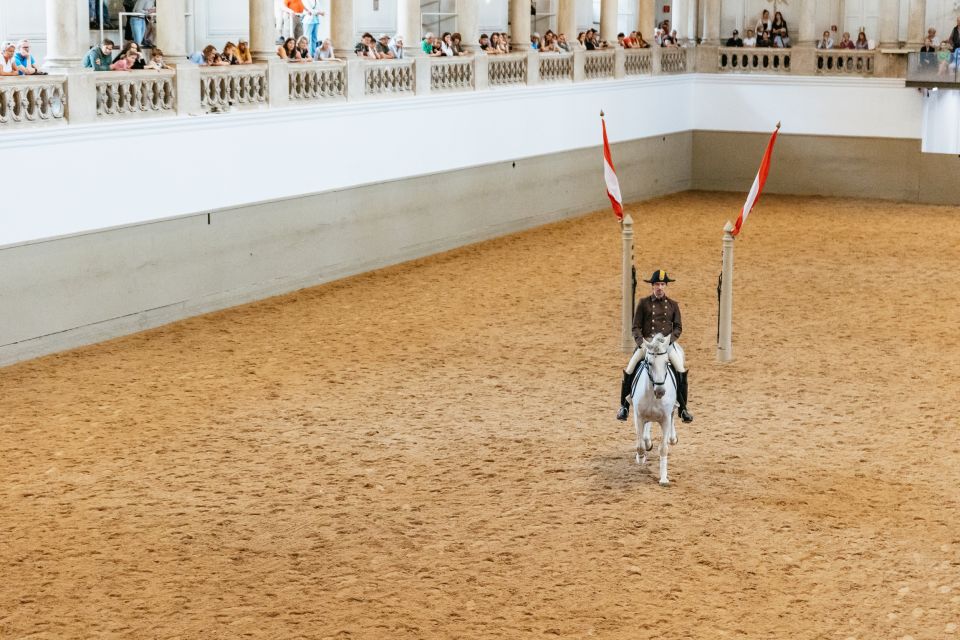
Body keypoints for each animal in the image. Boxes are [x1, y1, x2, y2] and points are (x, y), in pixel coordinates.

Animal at [632, 336, 684, 484]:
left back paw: (672, 438)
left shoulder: (665, 420)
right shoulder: (638, 417)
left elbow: (663, 448)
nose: (660, 391)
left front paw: (664, 478)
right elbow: (640, 445)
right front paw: (641, 457)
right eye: (649, 363)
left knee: (673, 415)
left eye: (667, 363)